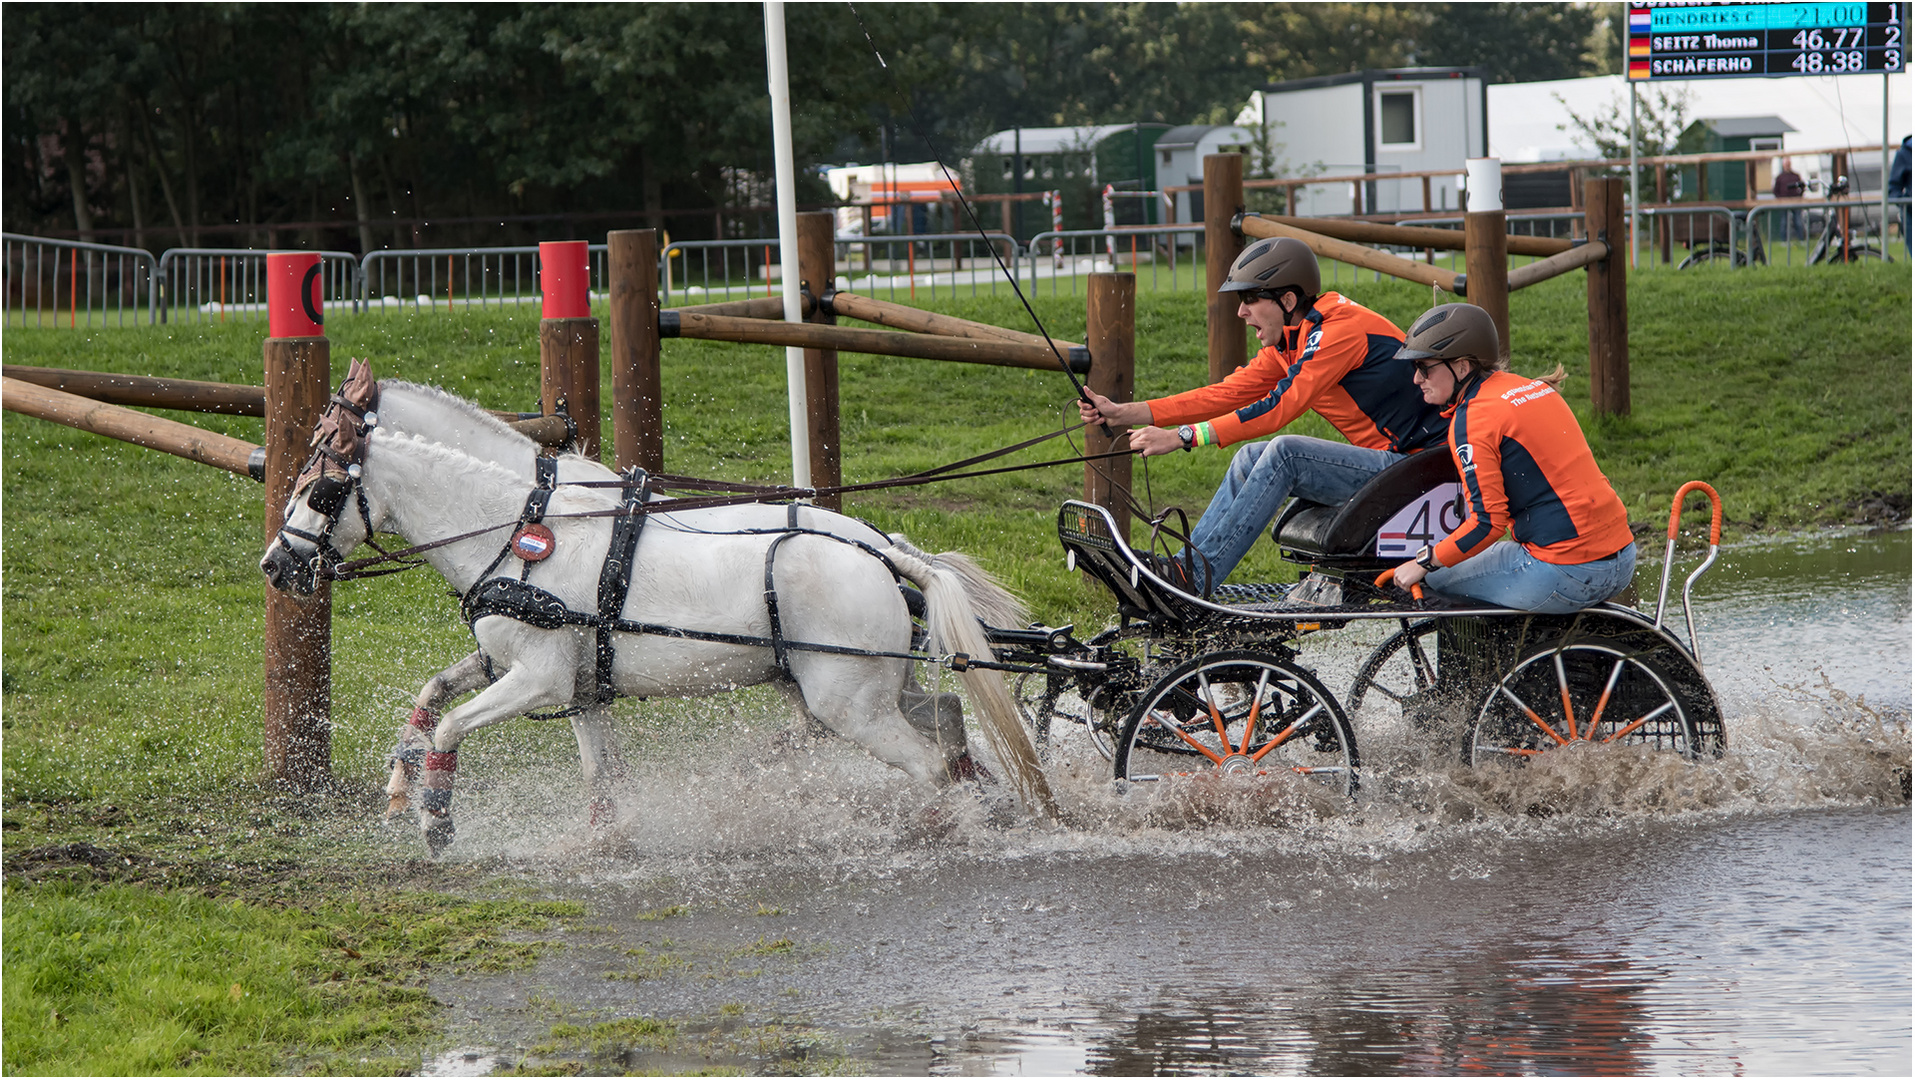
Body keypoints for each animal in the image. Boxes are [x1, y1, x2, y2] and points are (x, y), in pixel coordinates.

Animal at [258, 388, 1049, 854]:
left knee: (926, 763)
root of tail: (884, 551)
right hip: (865, 688)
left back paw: (939, 828)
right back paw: (987, 800)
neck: (521, 526)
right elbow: (470, 714)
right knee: (945, 713)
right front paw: (604, 843)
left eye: (321, 492)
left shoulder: (539, 679)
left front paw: (436, 817)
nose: (275, 564)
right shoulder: (562, 681)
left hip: (846, 705)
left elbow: (452, 725)